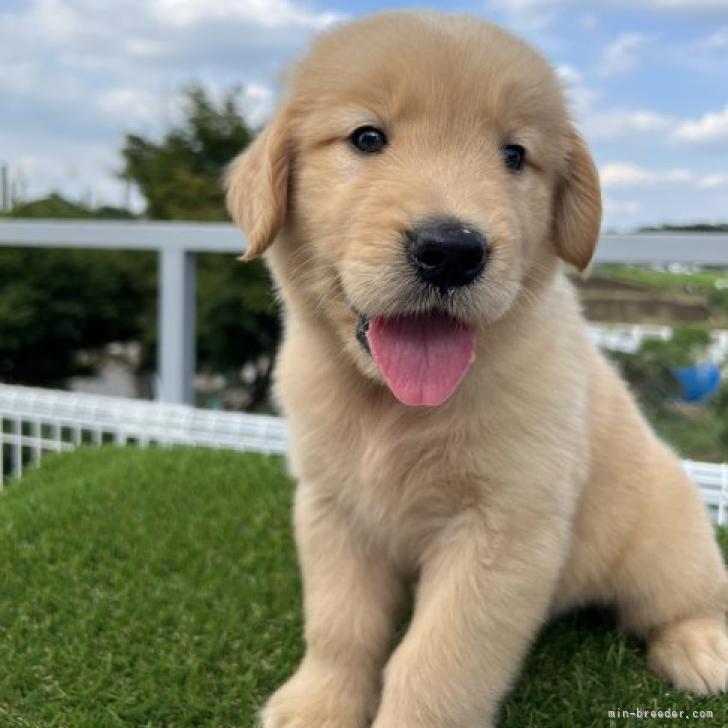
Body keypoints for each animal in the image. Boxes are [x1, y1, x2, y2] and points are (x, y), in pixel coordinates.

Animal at [225, 11, 724, 728]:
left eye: (514, 155)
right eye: (367, 138)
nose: (451, 251)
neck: (391, 405)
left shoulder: (501, 531)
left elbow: (437, 663)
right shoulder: (332, 509)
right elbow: (340, 625)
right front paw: (319, 703)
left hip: (667, 538)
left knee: (686, 598)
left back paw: (700, 648)